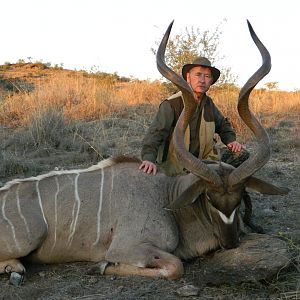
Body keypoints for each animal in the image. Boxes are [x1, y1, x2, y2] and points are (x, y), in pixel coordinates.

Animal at [0, 19, 288, 280]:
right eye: (208, 197)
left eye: (239, 198)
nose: (230, 243)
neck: (167, 194)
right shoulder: (128, 248)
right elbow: (174, 266)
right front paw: (102, 266)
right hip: (28, 239)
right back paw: (15, 269)